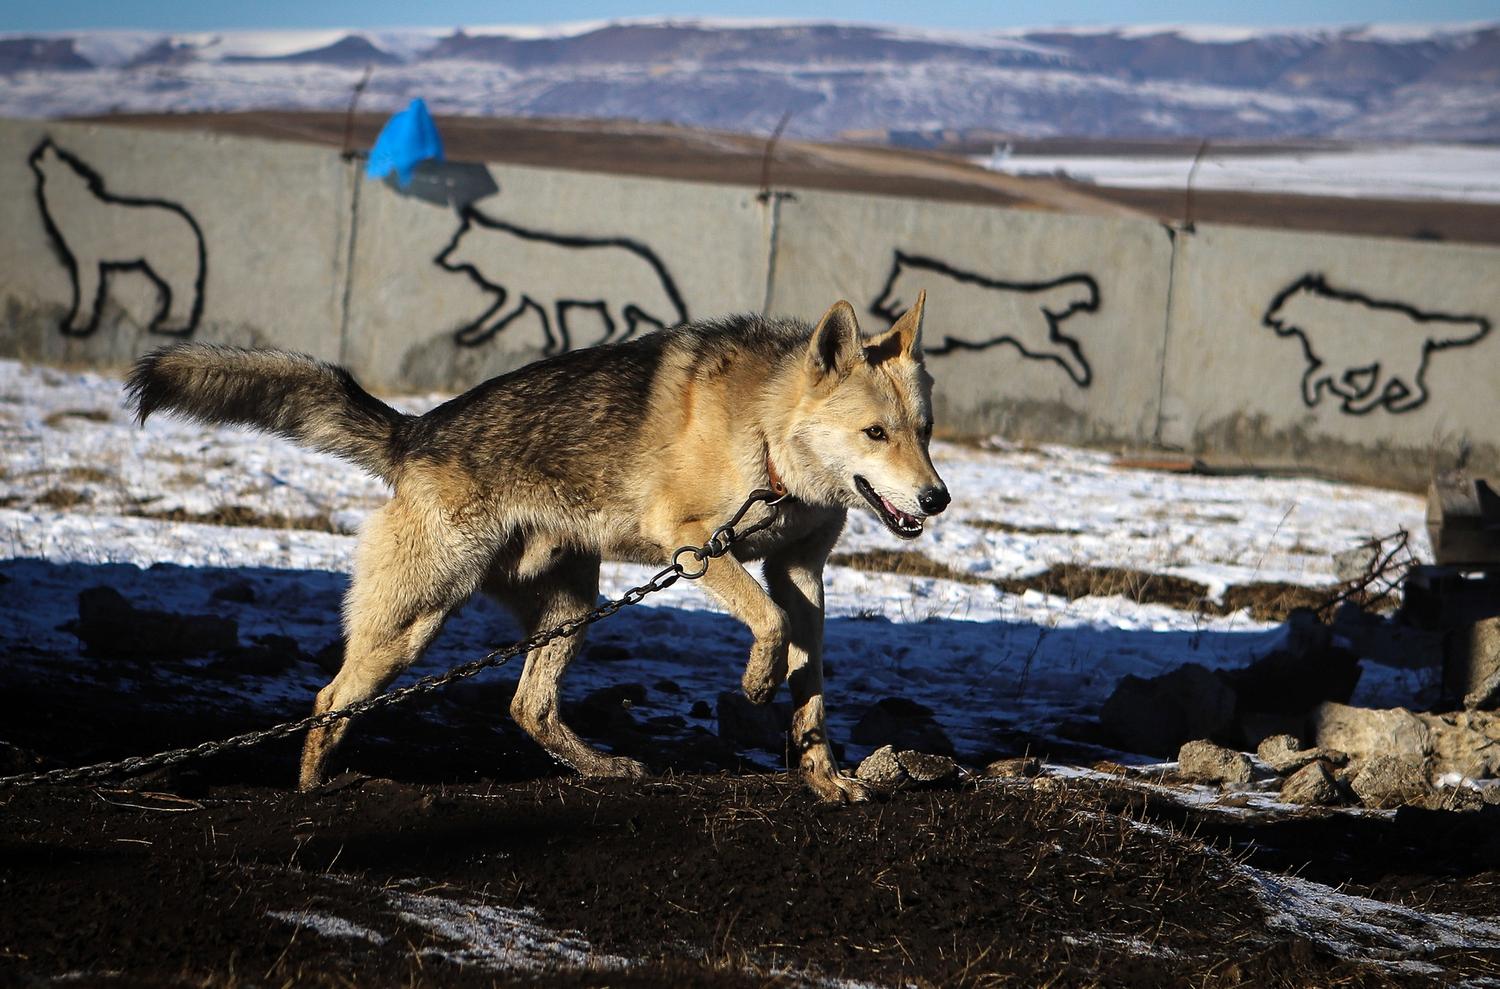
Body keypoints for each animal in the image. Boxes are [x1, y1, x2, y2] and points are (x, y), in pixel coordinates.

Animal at [129, 294, 948, 804]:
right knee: (330, 700)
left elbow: (812, 692)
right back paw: (310, 795)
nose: (937, 499)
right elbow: (768, 628)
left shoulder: (799, 572)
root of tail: (413, 434)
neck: (771, 439)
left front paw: (824, 779)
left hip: (571, 606)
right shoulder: (695, 546)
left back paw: (603, 770)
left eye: (925, 430)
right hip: (414, 622)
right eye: (876, 433)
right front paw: (755, 684)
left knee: (527, 707)